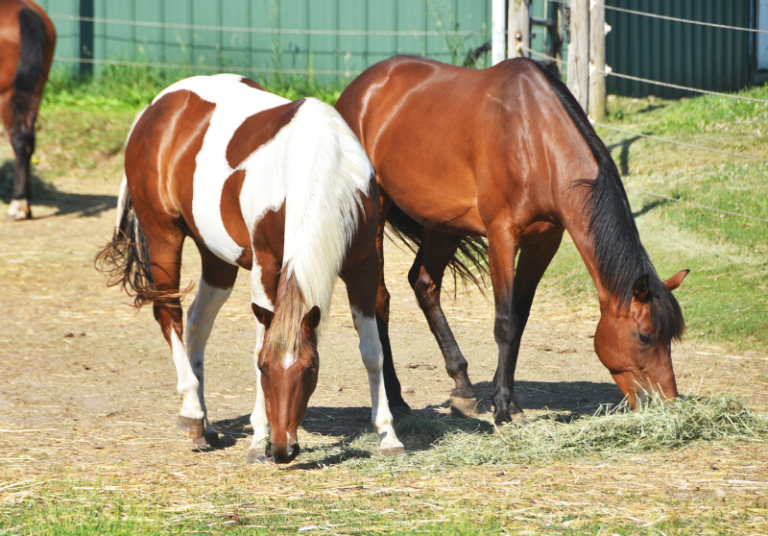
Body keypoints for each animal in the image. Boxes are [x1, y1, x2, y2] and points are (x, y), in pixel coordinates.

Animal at [0, 0, 55, 221]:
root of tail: (22, 9)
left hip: (7, 97)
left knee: (19, 141)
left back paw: (18, 203)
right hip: (34, 95)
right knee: (29, 141)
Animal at [96, 74, 404, 463]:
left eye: (311, 369)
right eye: (262, 368)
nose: (282, 448)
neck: (319, 163)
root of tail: (156, 106)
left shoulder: (363, 266)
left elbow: (372, 350)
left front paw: (388, 434)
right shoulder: (266, 265)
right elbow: (262, 338)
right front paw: (258, 438)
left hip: (216, 259)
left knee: (197, 322)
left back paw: (205, 424)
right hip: (163, 236)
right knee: (169, 314)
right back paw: (192, 413)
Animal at [335, 56, 689, 425]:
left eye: (671, 339)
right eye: (645, 337)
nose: (668, 404)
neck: (536, 140)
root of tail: (357, 89)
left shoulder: (544, 242)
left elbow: (520, 318)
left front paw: (505, 400)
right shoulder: (501, 237)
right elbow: (505, 322)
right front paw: (504, 410)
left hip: (442, 224)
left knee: (424, 284)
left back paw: (463, 389)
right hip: (377, 211)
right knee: (379, 299)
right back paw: (395, 397)